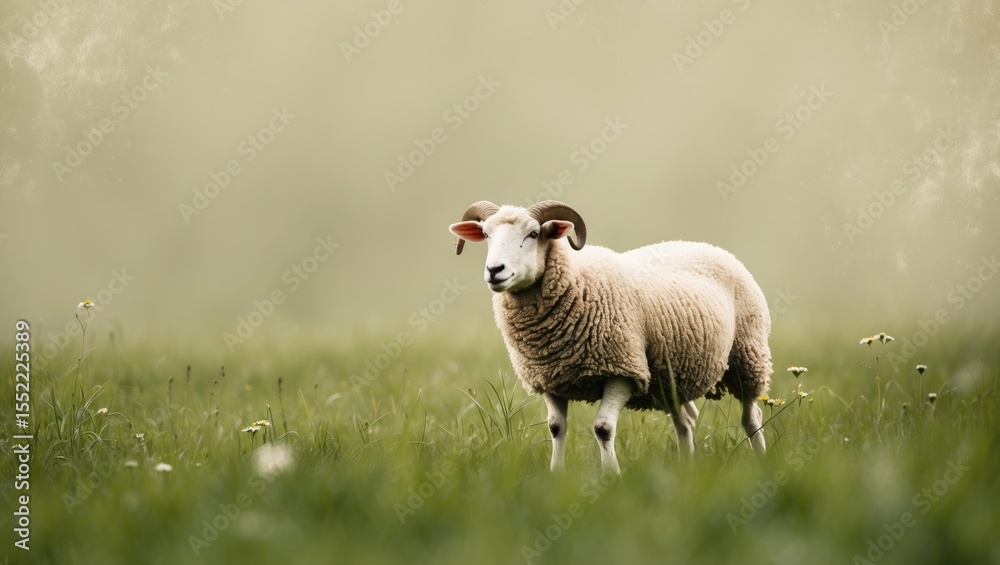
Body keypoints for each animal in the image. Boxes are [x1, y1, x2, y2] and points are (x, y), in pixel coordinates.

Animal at [449, 200, 772, 474]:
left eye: (533, 233)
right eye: (486, 235)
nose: (494, 270)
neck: (576, 279)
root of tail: (707, 246)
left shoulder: (623, 369)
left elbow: (603, 428)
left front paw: (611, 476)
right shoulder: (550, 376)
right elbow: (555, 428)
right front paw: (556, 474)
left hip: (748, 355)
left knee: (750, 416)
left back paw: (759, 460)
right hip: (671, 376)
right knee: (686, 421)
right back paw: (685, 467)